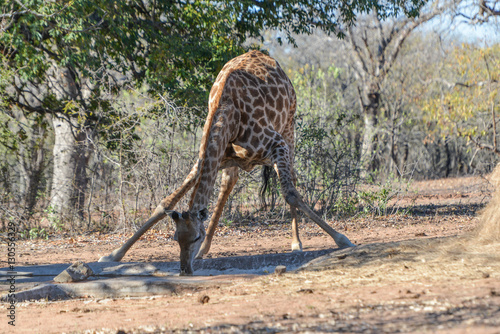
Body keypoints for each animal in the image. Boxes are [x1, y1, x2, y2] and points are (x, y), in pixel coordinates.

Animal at [99, 49, 354, 274]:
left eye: (195, 236)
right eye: (175, 238)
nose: (184, 269)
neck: (226, 111)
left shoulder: (276, 144)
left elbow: (290, 193)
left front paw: (342, 240)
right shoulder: (208, 158)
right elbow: (165, 203)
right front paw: (112, 255)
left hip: (289, 128)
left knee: (292, 180)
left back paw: (296, 243)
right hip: (235, 161)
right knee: (227, 186)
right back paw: (206, 250)